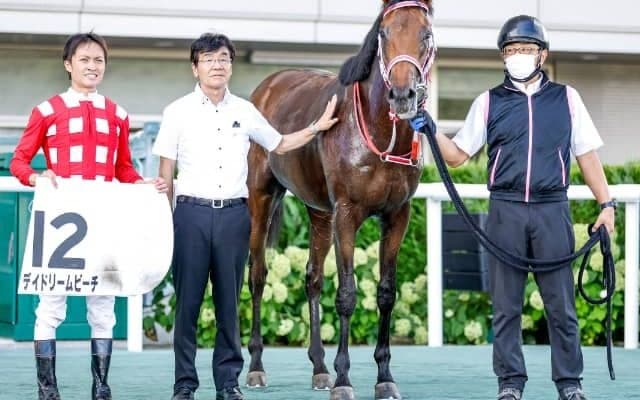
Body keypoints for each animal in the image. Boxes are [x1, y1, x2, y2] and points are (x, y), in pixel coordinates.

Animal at [245, 1, 436, 399]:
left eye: (426, 34)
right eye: (384, 33)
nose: (402, 95)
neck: (379, 132)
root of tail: (267, 86)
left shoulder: (398, 215)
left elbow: (386, 293)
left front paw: (384, 377)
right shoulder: (347, 214)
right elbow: (347, 293)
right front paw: (345, 379)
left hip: (318, 212)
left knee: (313, 278)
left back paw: (319, 369)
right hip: (261, 197)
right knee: (257, 275)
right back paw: (255, 367)